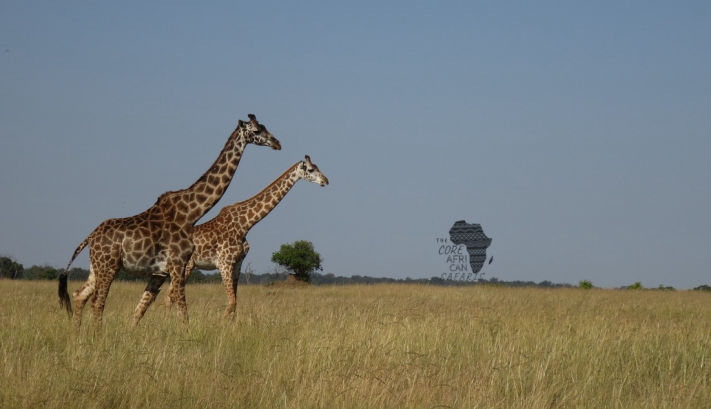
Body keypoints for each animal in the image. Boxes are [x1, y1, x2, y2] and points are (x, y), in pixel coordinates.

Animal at [58, 114, 281, 329]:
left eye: (265, 126)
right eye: (256, 130)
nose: (277, 143)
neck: (190, 213)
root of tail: (89, 238)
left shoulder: (162, 271)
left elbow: (143, 307)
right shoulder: (177, 264)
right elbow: (183, 311)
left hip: (96, 267)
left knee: (79, 296)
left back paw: (77, 336)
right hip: (108, 266)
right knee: (98, 302)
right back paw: (97, 336)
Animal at [164, 155, 328, 316]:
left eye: (318, 166)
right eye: (311, 169)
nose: (326, 180)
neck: (245, 225)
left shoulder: (238, 263)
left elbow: (235, 303)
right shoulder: (224, 263)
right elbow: (231, 302)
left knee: (169, 295)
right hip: (186, 266)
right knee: (172, 295)